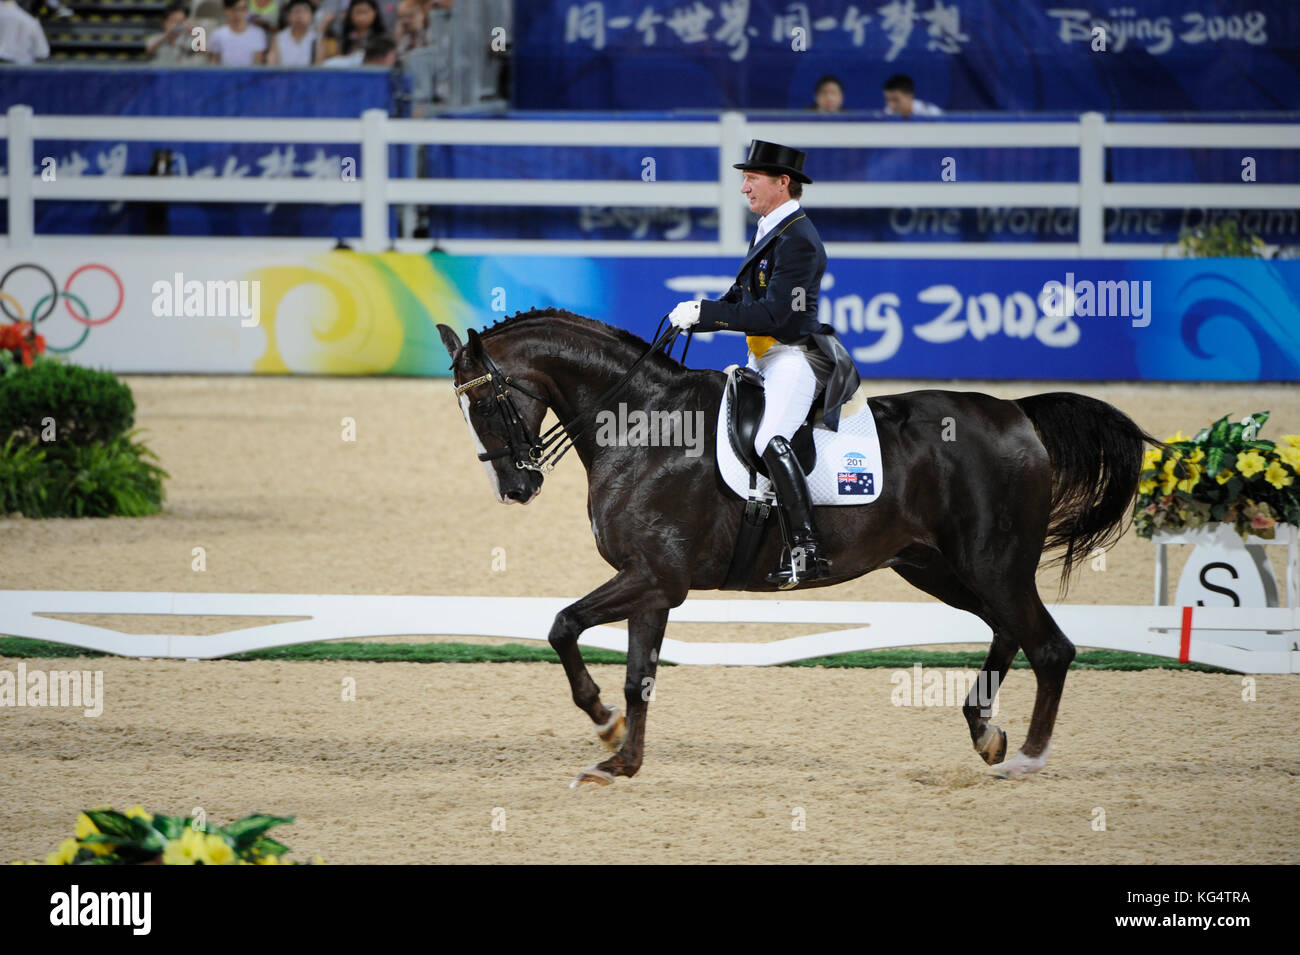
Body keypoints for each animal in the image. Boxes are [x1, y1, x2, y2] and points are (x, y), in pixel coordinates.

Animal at [439, 310, 1159, 789]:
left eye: (492, 404)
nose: (517, 487)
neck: (645, 425)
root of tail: (1017, 413)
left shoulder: (656, 578)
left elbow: (563, 625)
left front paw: (603, 723)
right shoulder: (653, 582)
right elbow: (638, 674)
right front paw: (621, 757)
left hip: (991, 563)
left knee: (1050, 646)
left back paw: (1027, 759)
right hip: (937, 566)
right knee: (1008, 630)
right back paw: (985, 732)